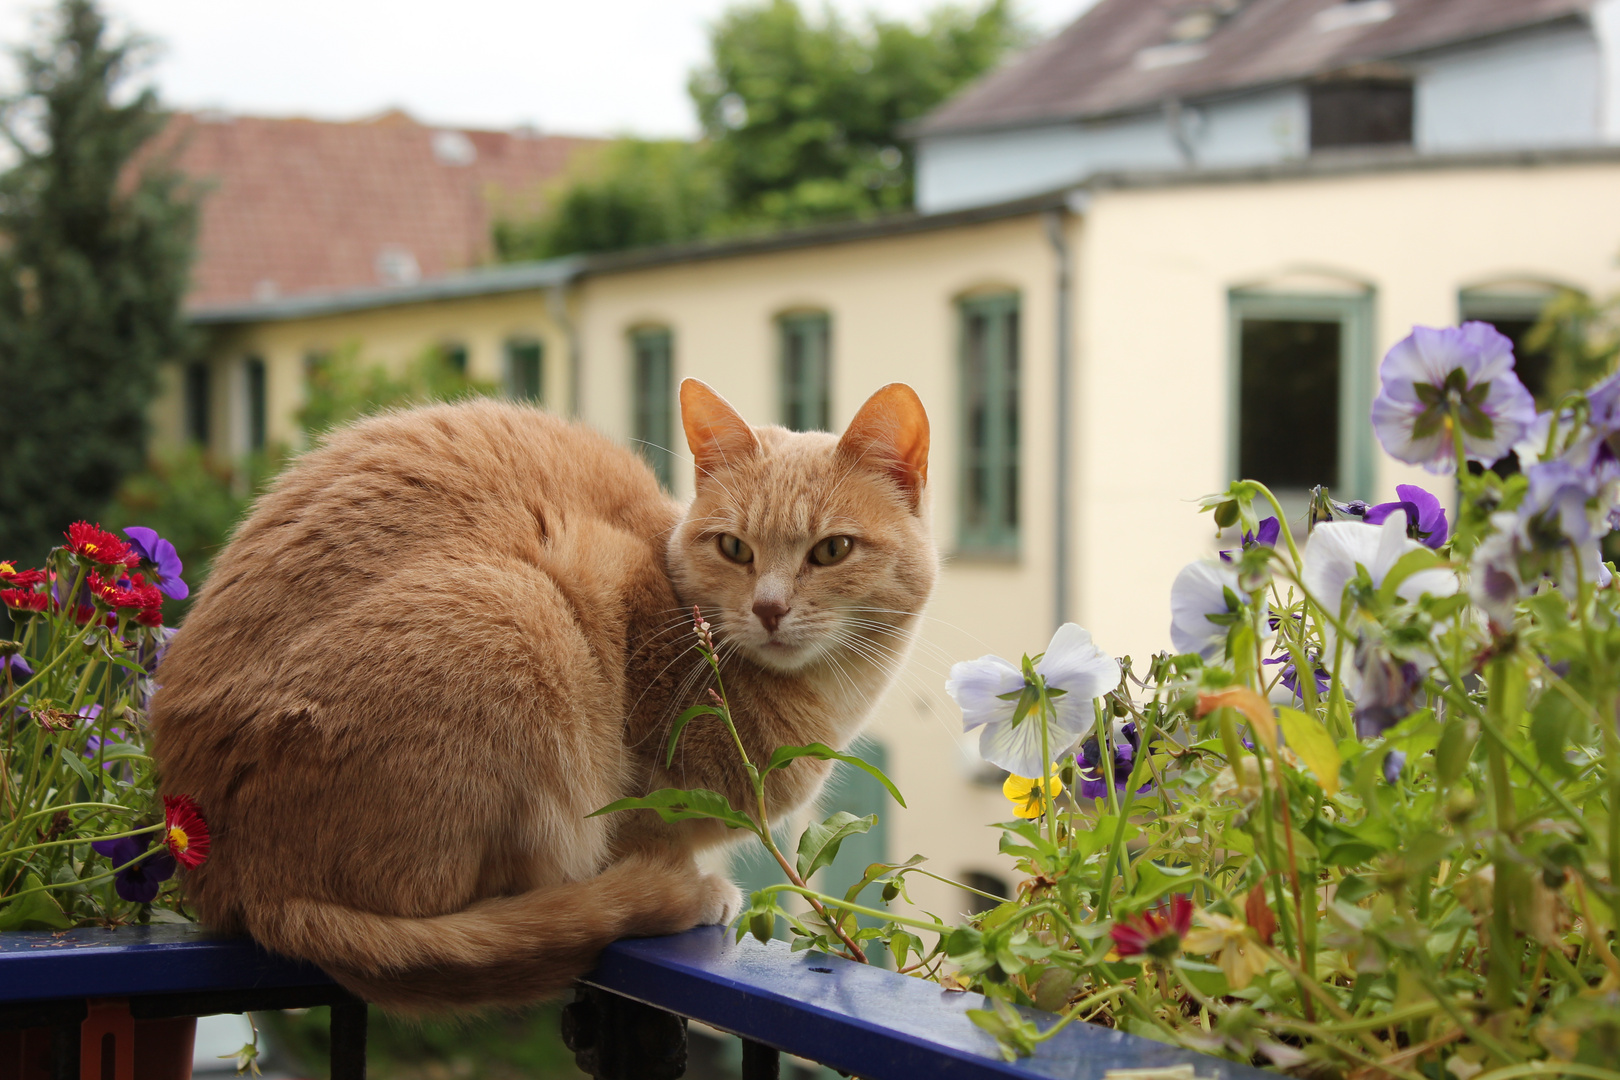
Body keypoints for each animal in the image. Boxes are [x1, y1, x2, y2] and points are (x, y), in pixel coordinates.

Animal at [154, 375, 939, 1010]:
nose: (770, 609)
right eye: (735, 549)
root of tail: (243, 882)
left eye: (831, 550)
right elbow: (646, 830)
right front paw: (683, 881)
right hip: (522, 610)